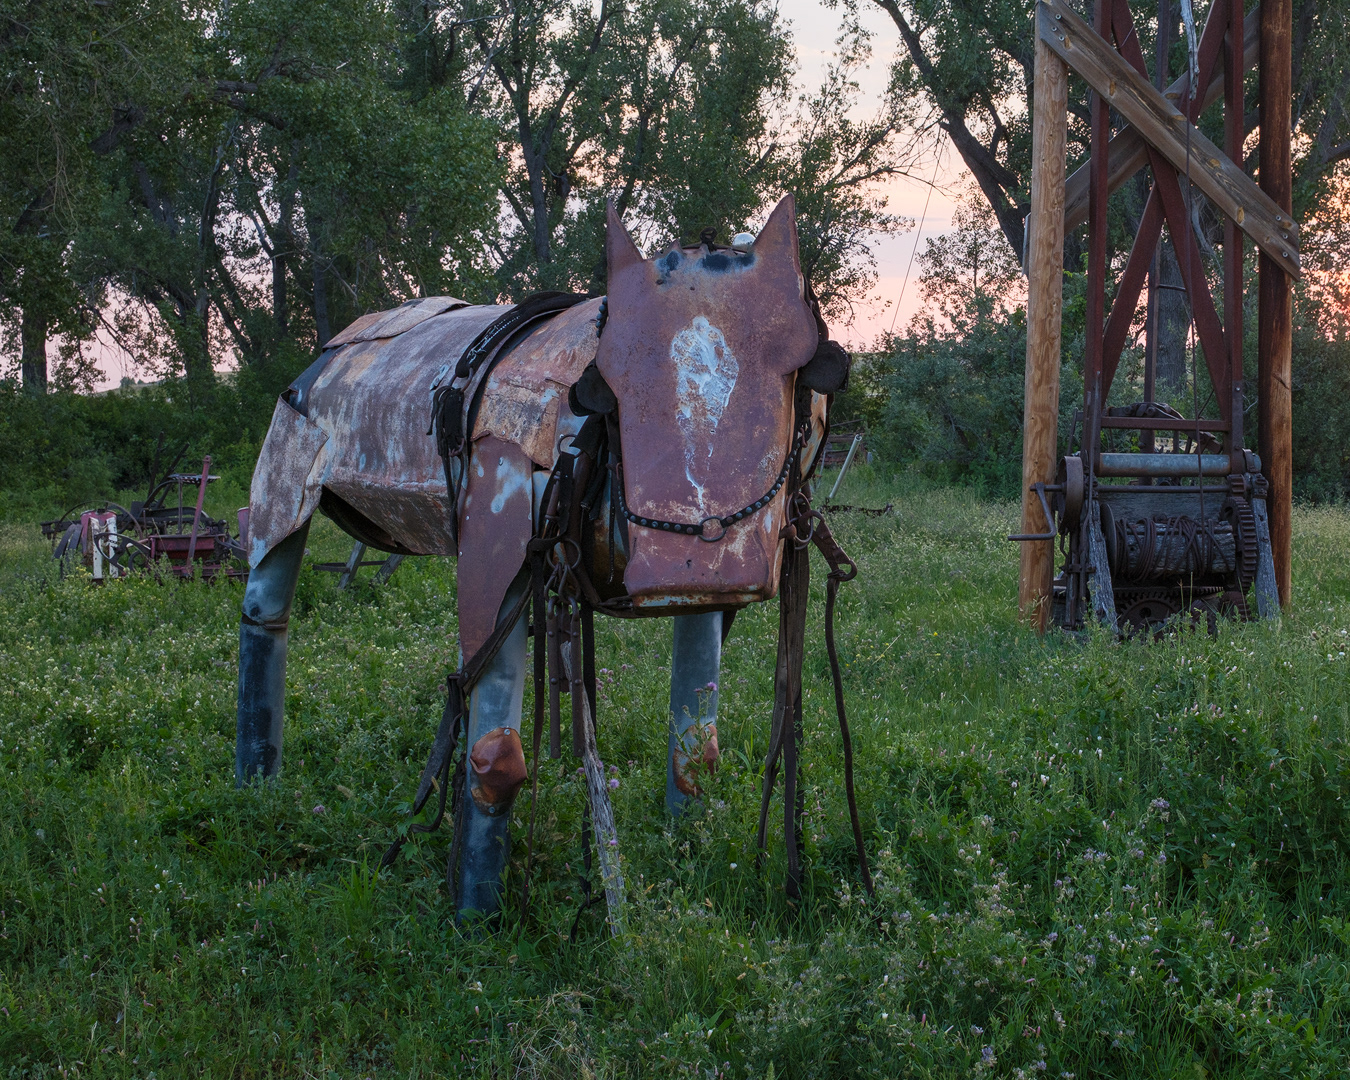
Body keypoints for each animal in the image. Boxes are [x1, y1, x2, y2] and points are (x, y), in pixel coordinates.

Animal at [236, 195, 867, 922]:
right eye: (607, 381)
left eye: (807, 367)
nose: (695, 563)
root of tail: (324, 357)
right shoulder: (498, 530)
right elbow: (495, 758)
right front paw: (475, 918)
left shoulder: (696, 601)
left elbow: (696, 743)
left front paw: (687, 851)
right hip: (282, 489)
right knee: (265, 615)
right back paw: (255, 785)